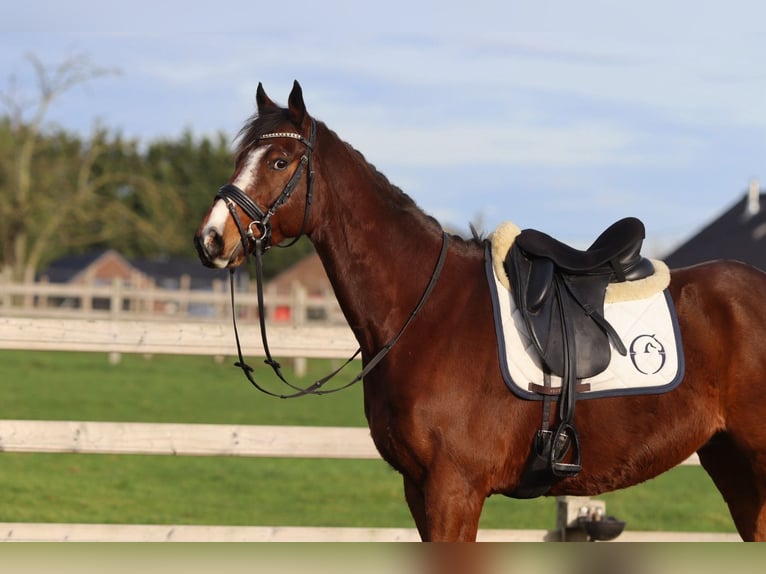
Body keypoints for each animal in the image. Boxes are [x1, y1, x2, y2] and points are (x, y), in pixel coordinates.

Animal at [194, 81, 766, 541]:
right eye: (240, 157)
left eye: (278, 162)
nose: (211, 239)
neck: (423, 312)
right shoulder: (419, 489)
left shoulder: (454, 489)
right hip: (734, 466)